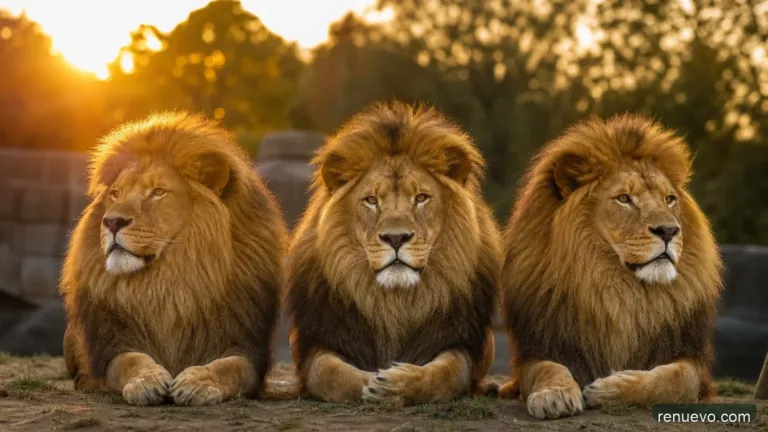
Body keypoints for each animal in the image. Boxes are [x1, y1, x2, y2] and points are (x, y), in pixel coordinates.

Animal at [60, 112, 286, 406]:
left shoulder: (245, 346)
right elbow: (130, 361)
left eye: (158, 192)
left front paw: (197, 381)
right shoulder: (112, 344)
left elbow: (229, 367)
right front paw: (147, 380)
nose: (111, 222)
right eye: (116, 194)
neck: (171, 279)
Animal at [285, 102, 502, 405]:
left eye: (421, 198)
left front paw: (398, 384)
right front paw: (372, 382)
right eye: (371, 200)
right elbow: (330, 374)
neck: (393, 302)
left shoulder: (457, 342)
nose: (396, 238)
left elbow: (446, 374)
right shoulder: (318, 342)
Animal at [498, 114, 723, 419]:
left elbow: (674, 379)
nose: (669, 230)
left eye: (669, 199)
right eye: (624, 199)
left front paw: (609, 388)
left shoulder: (690, 358)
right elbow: (547, 368)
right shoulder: (538, 348)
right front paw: (554, 394)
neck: (616, 289)